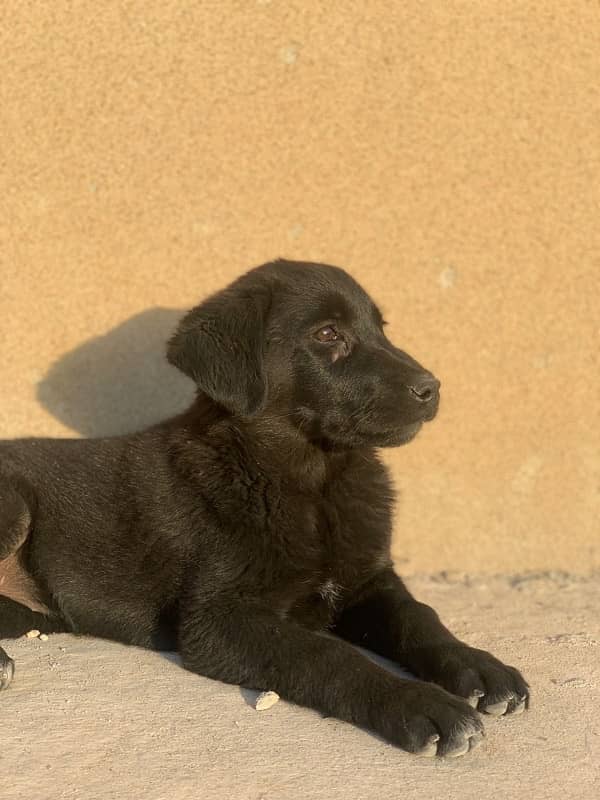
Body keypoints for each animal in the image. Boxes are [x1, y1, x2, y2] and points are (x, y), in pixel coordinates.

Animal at [0, 260, 528, 756]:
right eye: (328, 334)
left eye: (382, 328)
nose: (431, 388)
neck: (314, 484)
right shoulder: (219, 620)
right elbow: (326, 655)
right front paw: (420, 704)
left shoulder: (368, 580)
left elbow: (419, 616)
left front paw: (478, 666)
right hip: (15, 508)